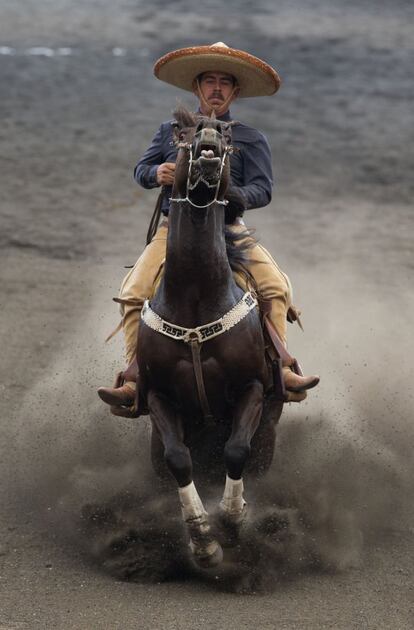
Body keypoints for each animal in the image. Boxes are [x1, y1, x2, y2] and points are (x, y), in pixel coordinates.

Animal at [137, 108, 284, 568]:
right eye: (180, 130)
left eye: (227, 133)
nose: (207, 146)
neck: (197, 301)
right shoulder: (158, 394)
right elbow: (178, 460)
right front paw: (203, 540)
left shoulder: (252, 387)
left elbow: (236, 451)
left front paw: (232, 521)